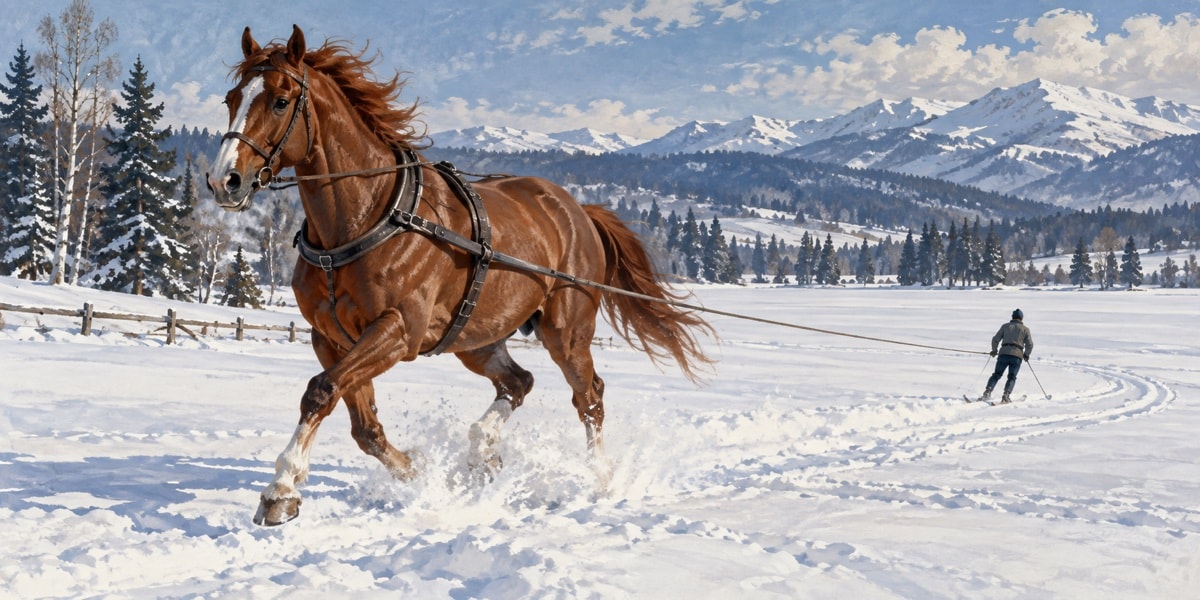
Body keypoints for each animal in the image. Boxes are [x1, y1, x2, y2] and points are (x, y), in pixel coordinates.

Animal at [206, 25, 712, 526]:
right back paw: (483, 451)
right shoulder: (331, 337)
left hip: (565, 332)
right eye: (232, 97)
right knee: (519, 382)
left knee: (589, 398)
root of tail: (577, 211)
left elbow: (320, 391)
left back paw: (601, 480)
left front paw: (280, 489)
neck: (369, 216)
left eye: (280, 100)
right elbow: (363, 426)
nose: (223, 181)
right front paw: (418, 473)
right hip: (477, 336)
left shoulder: (398, 330)